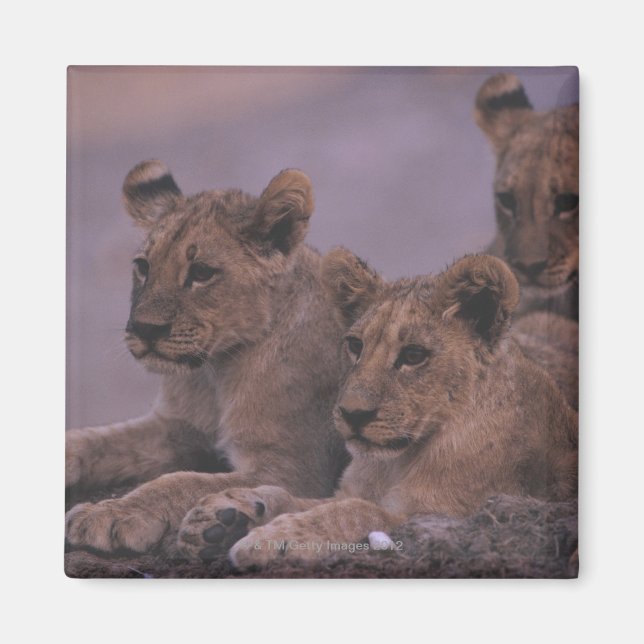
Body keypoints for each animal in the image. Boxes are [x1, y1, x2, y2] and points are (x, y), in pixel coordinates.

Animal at [65, 161, 349, 557]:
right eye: (143, 266)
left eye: (201, 272)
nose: (144, 329)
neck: (214, 373)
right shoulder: (175, 426)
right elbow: (101, 440)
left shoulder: (294, 469)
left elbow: (180, 481)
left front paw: (113, 513)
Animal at [174, 250, 578, 567]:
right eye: (356, 345)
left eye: (414, 355)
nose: (352, 414)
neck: (397, 462)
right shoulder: (349, 490)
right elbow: (294, 496)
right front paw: (222, 513)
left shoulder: (451, 515)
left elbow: (356, 512)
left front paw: (271, 538)